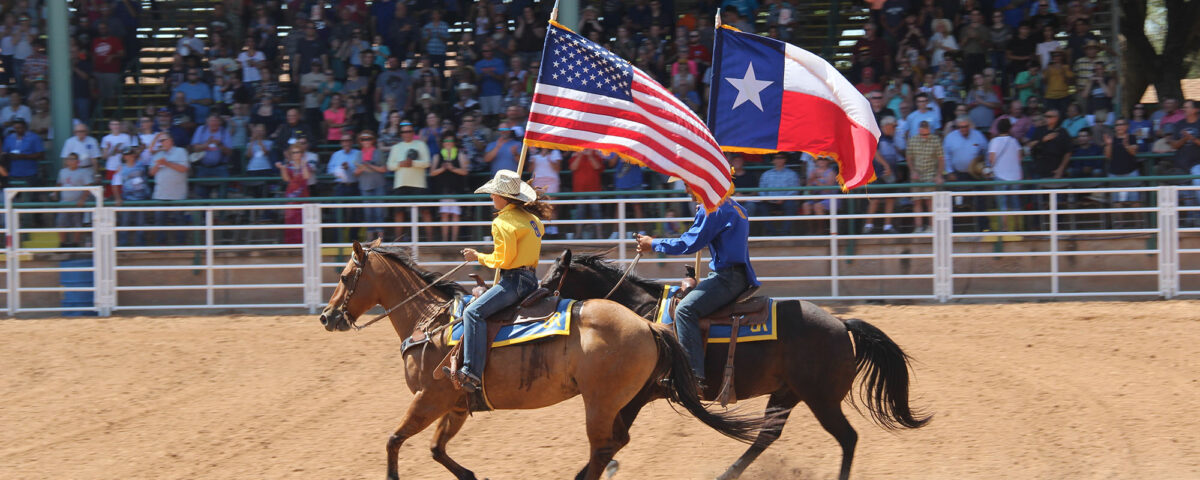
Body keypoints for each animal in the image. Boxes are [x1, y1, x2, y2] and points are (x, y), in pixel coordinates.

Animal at [319, 240, 768, 480]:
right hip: (618, 401)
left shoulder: (428, 399)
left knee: (603, 447)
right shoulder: (457, 405)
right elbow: (435, 449)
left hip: (600, 403)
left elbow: (394, 440)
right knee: (610, 445)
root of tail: (648, 326)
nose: (327, 317)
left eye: (343, 277)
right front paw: (472, 475)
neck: (430, 322)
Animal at [540, 250, 931, 480]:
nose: (533, 296)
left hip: (821, 399)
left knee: (847, 438)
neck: (641, 314)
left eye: (552, 277)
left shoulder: (636, 393)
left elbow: (612, 436)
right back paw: (726, 474)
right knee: (767, 435)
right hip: (787, 394)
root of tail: (841, 324)